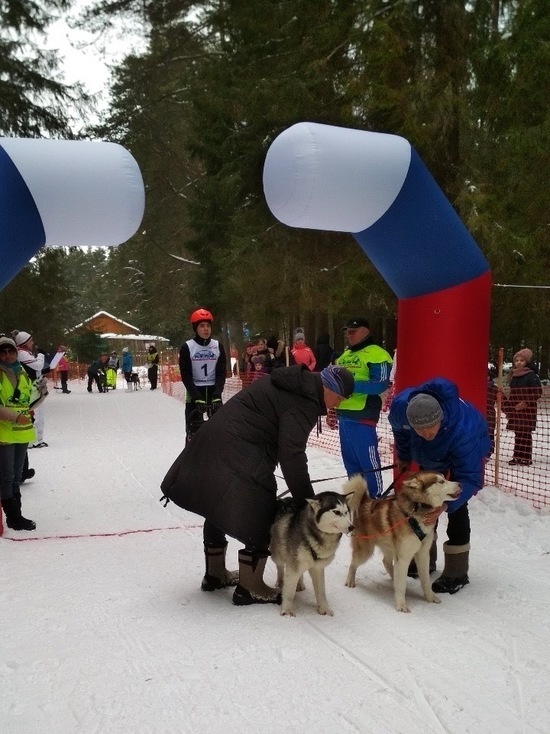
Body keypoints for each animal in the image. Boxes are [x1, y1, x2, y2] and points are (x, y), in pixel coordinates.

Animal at [270, 492, 356, 620]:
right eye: (336, 512)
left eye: (346, 512)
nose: (351, 527)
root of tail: (284, 500)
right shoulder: (294, 565)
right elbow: (289, 591)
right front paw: (287, 611)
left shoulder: (318, 568)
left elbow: (321, 592)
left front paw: (324, 609)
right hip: (278, 554)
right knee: (280, 567)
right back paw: (280, 582)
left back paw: (299, 584)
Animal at [350, 472, 462, 616]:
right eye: (441, 481)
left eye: (444, 478)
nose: (461, 484)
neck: (417, 509)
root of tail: (365, 501)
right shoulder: (403, 557)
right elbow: (401, 585)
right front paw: (401, 605)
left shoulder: (423, 555)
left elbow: (425, 580)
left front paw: (430, 597)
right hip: (366, 551)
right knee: (353, 564)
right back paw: (350, 581)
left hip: (390, 548)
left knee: (387, 562)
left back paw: (393, 577)